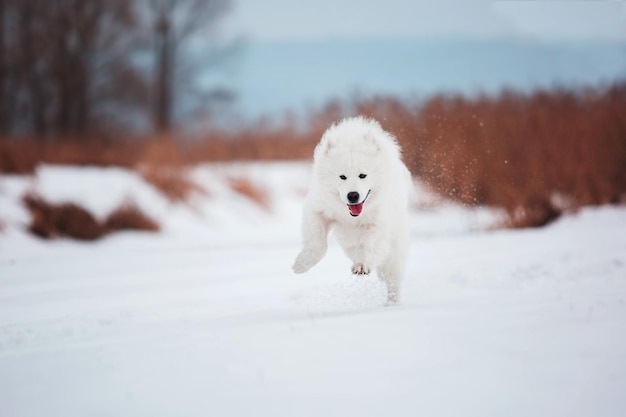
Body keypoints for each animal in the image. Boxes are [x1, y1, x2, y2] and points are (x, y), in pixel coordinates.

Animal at [292, 115, 412, 300]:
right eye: (342, 177)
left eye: (363, 175)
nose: (353, 195)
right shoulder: (318, 210)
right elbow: (318, 244)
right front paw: (301, 264)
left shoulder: (377, 224)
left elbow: (367, 245)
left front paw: (362, 266)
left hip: (394, 253)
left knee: (392, 281)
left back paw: (393, 302)